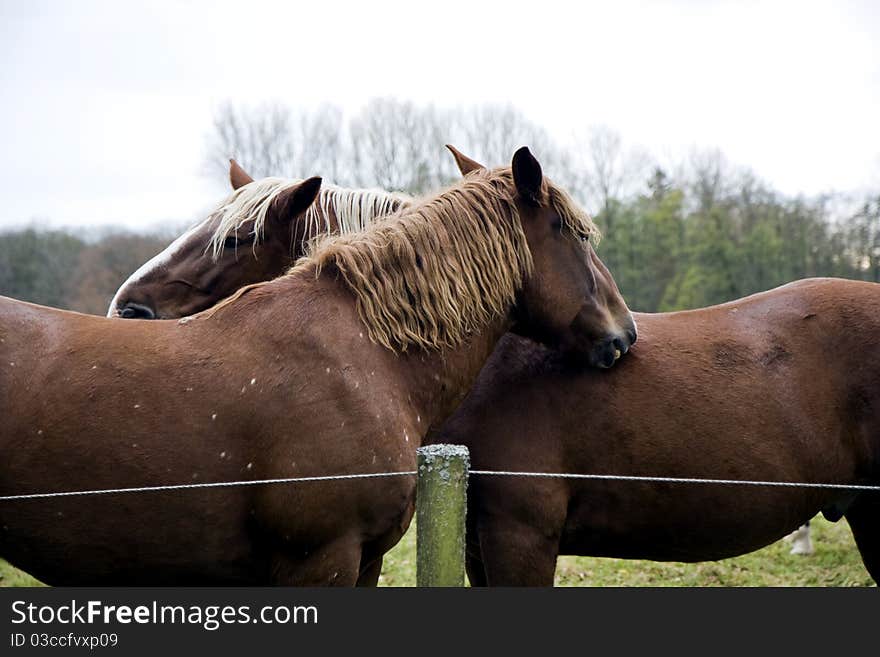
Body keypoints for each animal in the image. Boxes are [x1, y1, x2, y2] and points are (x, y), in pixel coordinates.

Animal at [0, 149, 632, 584]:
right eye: (573, 233)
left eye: (238, 238)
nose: (622, 332)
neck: (363, 354)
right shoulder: (320, 560)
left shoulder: (365, 560)